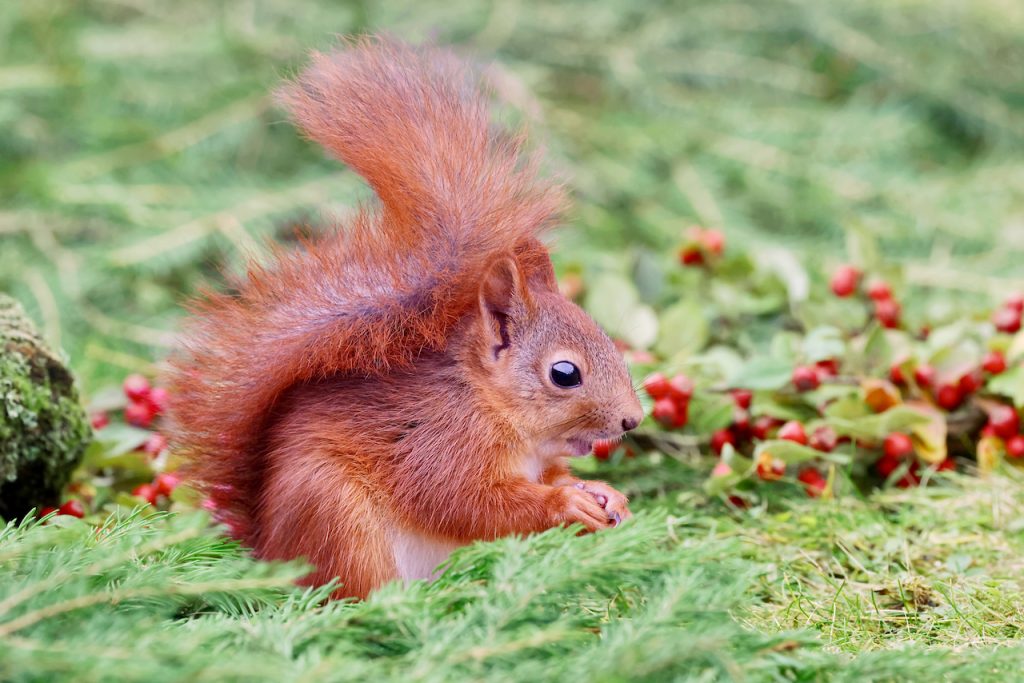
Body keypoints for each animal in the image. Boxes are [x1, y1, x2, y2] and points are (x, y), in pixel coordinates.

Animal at [167, 37, 647, 598]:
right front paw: (564, 503)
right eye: (565, 374)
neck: (490, 404)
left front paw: (603, 492)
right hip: (336, 515)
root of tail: (269, 549)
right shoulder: (438, 442)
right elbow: (467, 503)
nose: (632, 420)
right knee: (355, 592)